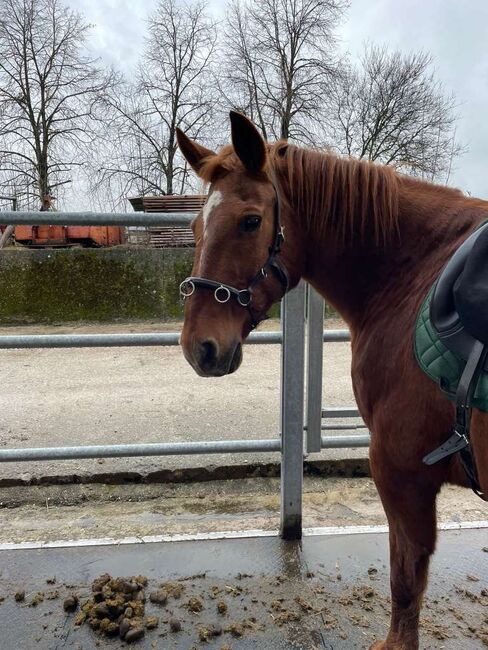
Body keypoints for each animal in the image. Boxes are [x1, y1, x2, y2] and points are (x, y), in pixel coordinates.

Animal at [177, 112, 486, 648]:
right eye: (197, 225)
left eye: (250, 220)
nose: (200, 347)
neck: (414, 274)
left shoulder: (400, 473)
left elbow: (406, 581)